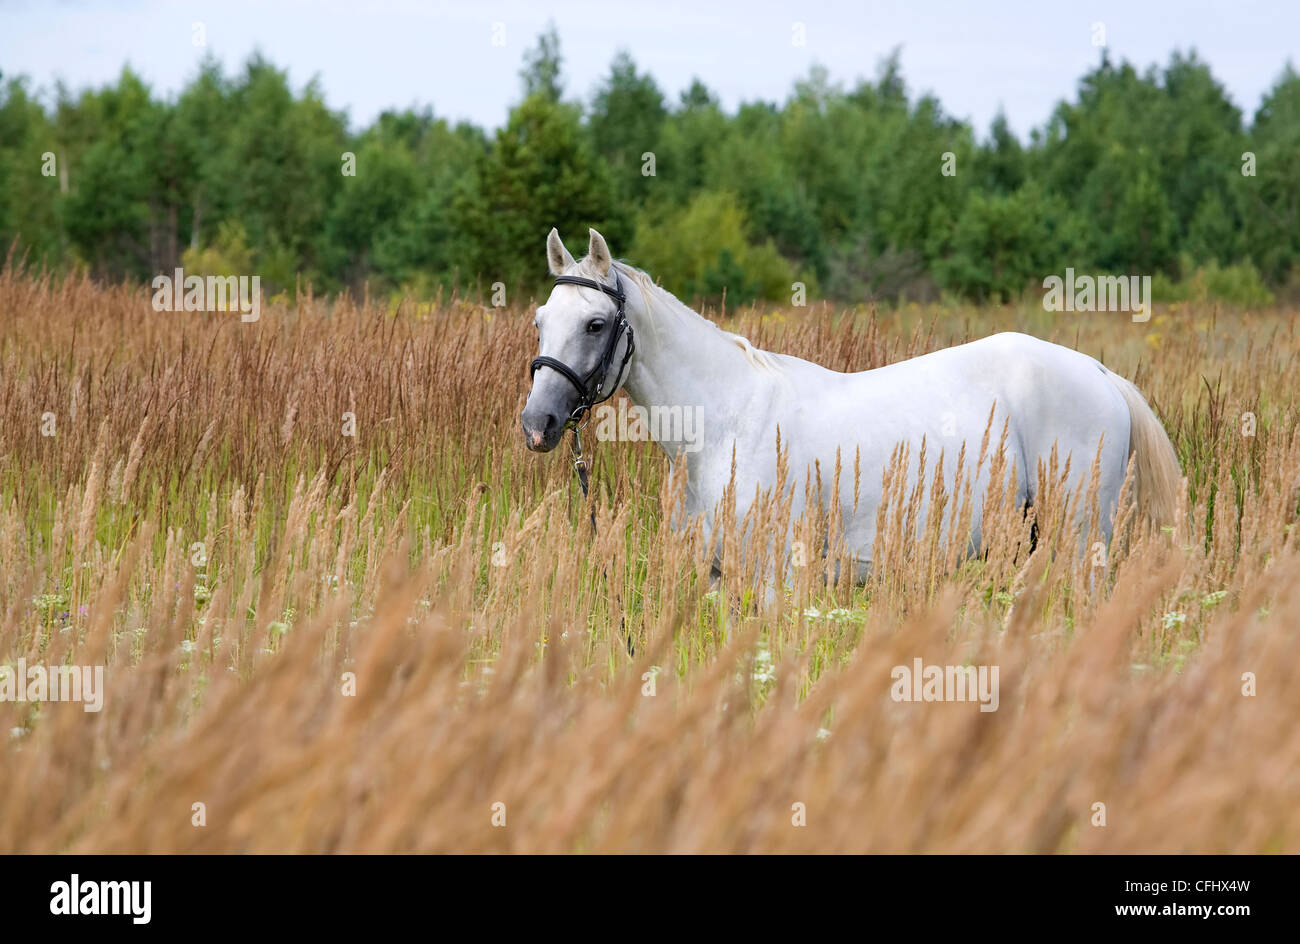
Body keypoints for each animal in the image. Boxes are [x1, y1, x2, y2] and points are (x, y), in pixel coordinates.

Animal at [522, 228, 1181, 582]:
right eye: (541, 320)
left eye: (596, 323)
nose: (537, 424)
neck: (726, 423)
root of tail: (1100, 374)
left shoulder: (777, 578)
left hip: (1081, 537)